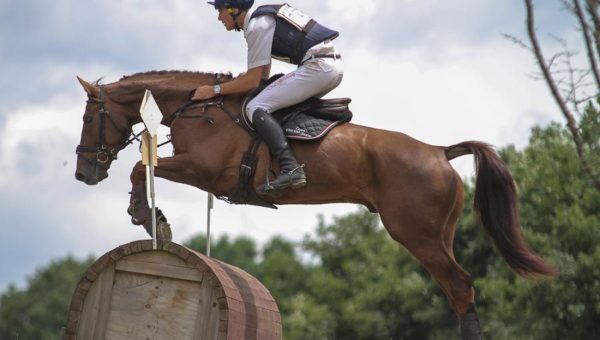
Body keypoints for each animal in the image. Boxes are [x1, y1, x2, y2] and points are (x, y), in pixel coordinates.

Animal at [75, 70, 556, 338]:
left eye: (88, 117)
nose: (84, 174)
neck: (197, 107)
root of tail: (439, 151)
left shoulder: (204, 170)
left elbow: (141, 167)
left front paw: (149, 217)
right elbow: (143, 167)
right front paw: (151, 219)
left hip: (414, 233)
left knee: (458, 285)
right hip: (440, 233)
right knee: (458, 286)